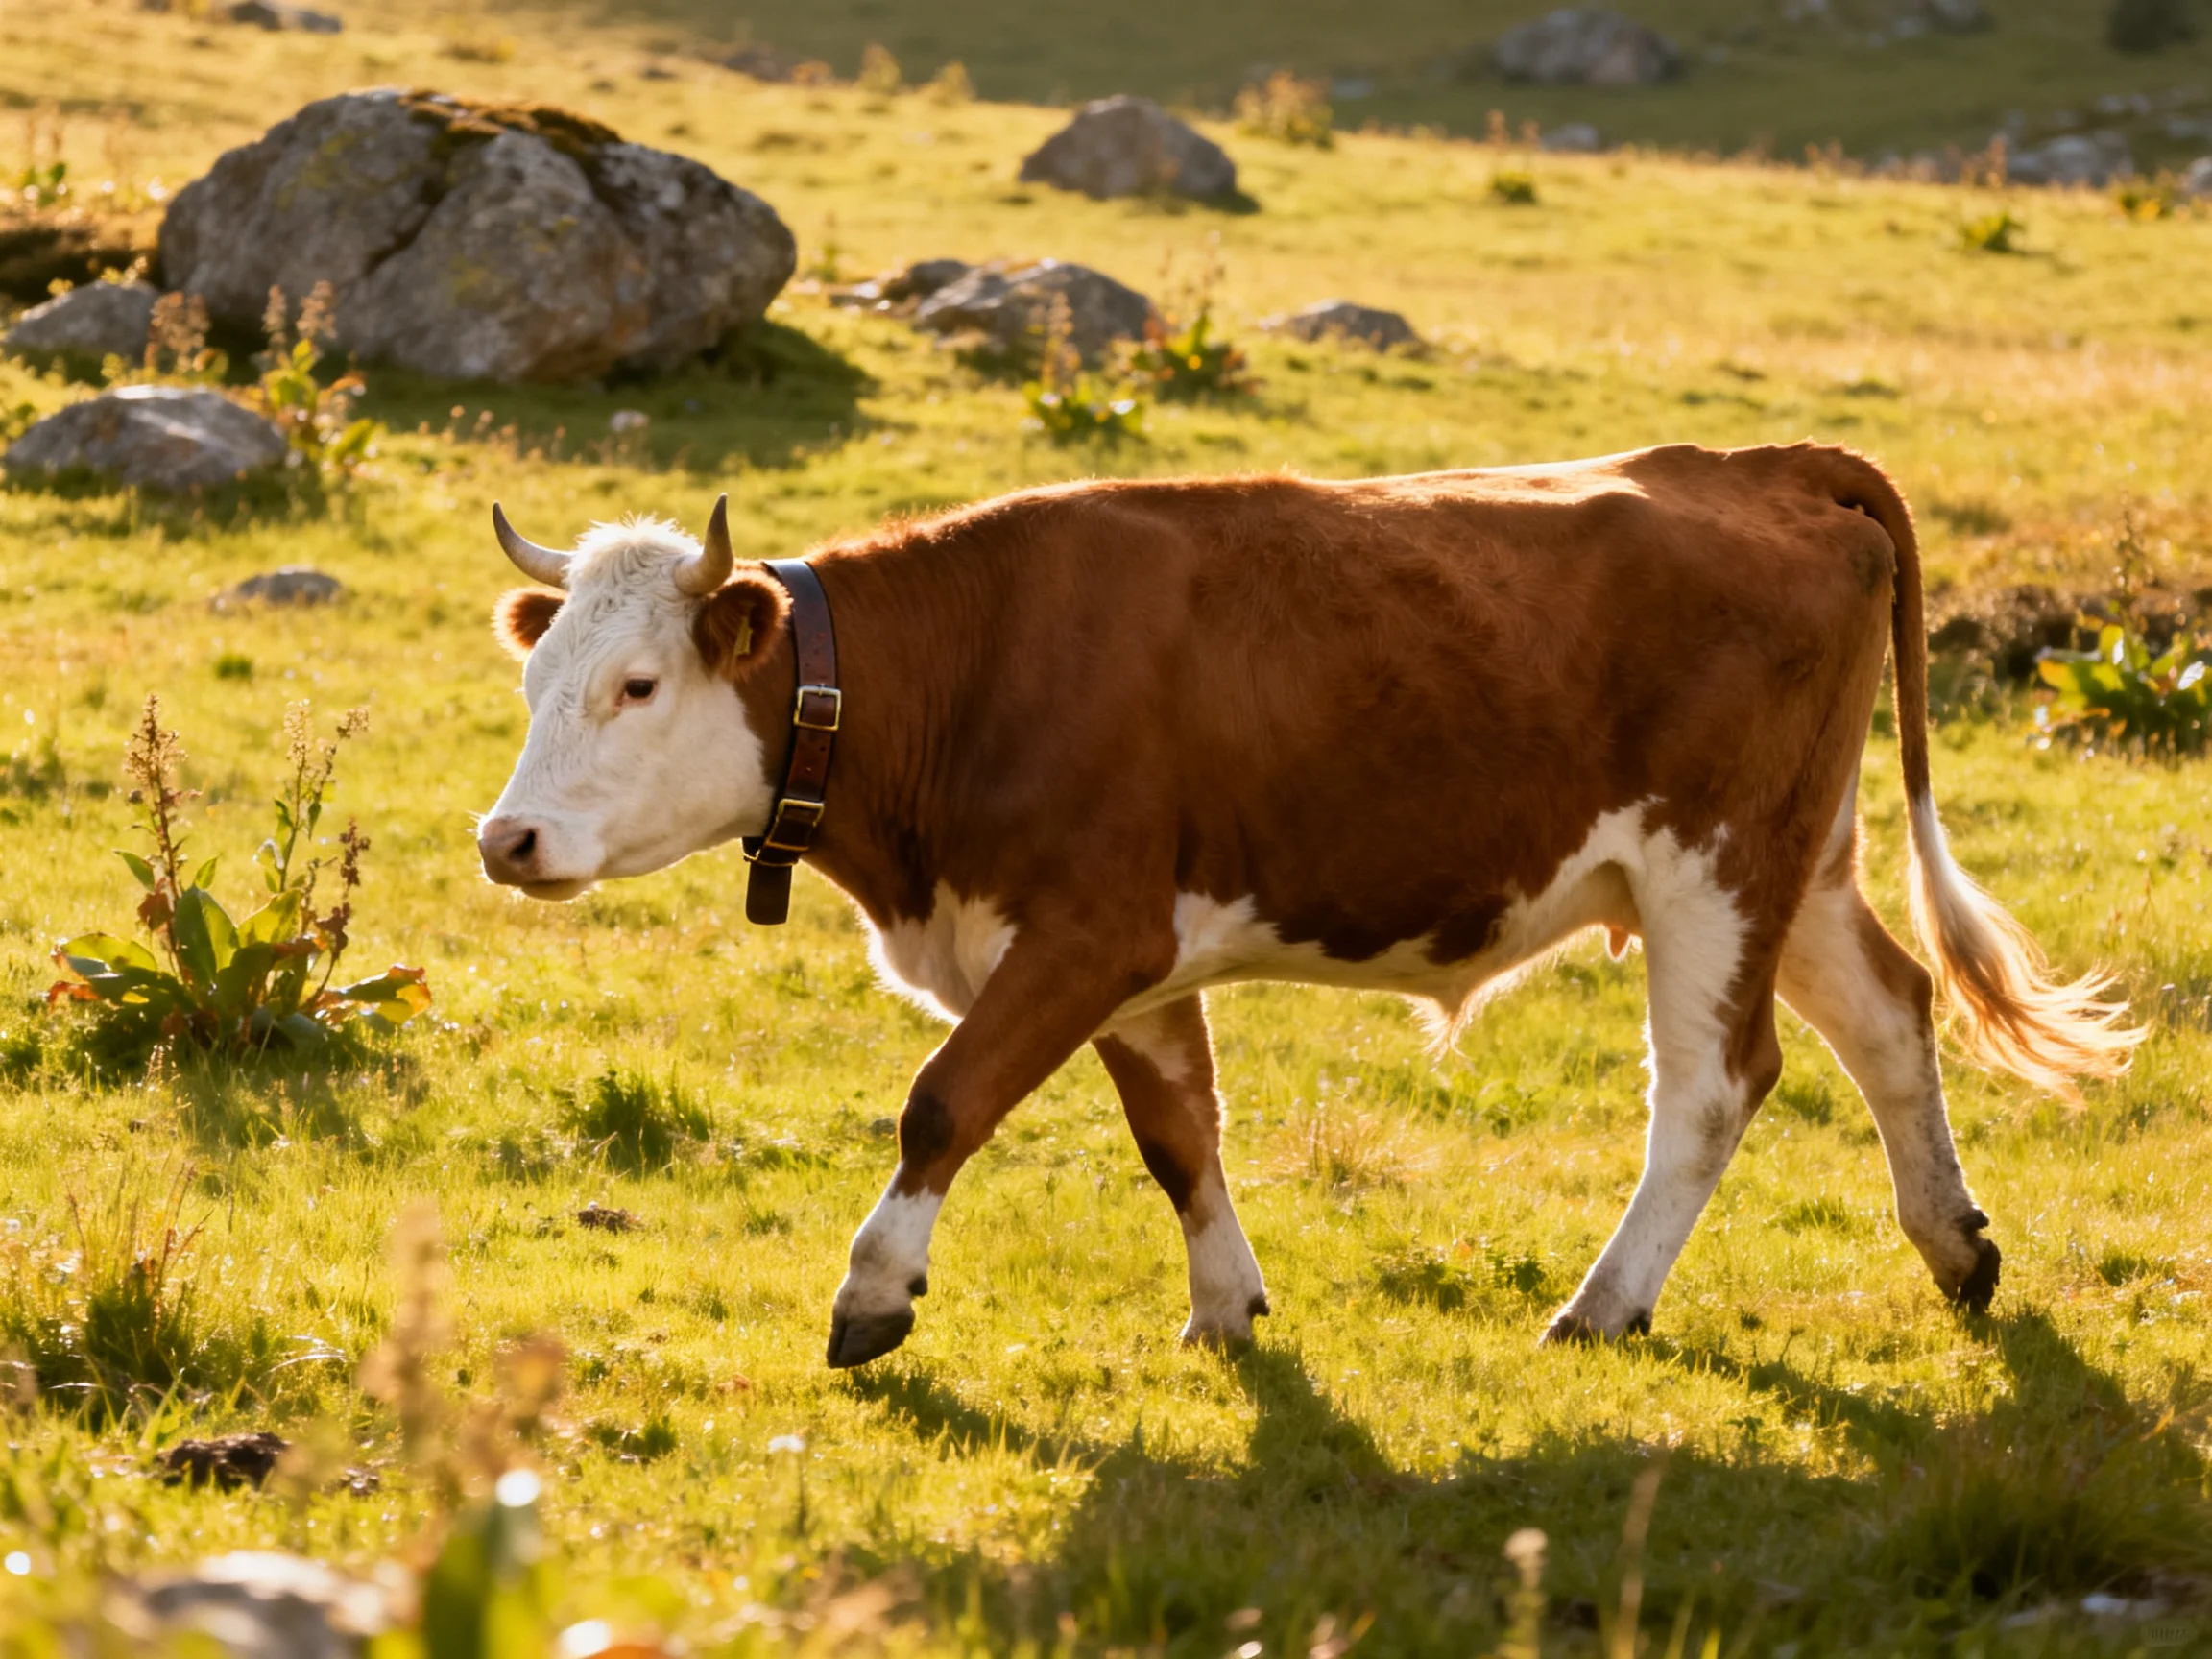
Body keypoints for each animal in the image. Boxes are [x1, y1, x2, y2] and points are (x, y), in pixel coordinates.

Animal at [477, 443, 2139, 1369]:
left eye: (639, 685)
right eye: (538, 675)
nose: (508, 837)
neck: (965, 667)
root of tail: (1761, 463)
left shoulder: (1087, 930)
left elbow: (943, 1101)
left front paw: (876, 1292)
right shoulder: (1135, 962)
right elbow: (1179, 1135)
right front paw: (1226, 1307)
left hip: (1713, 868)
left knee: (1718, 1085)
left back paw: (1605, 1305)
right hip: (1794, 861)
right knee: (1891, 1015)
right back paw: (1957, 1248)